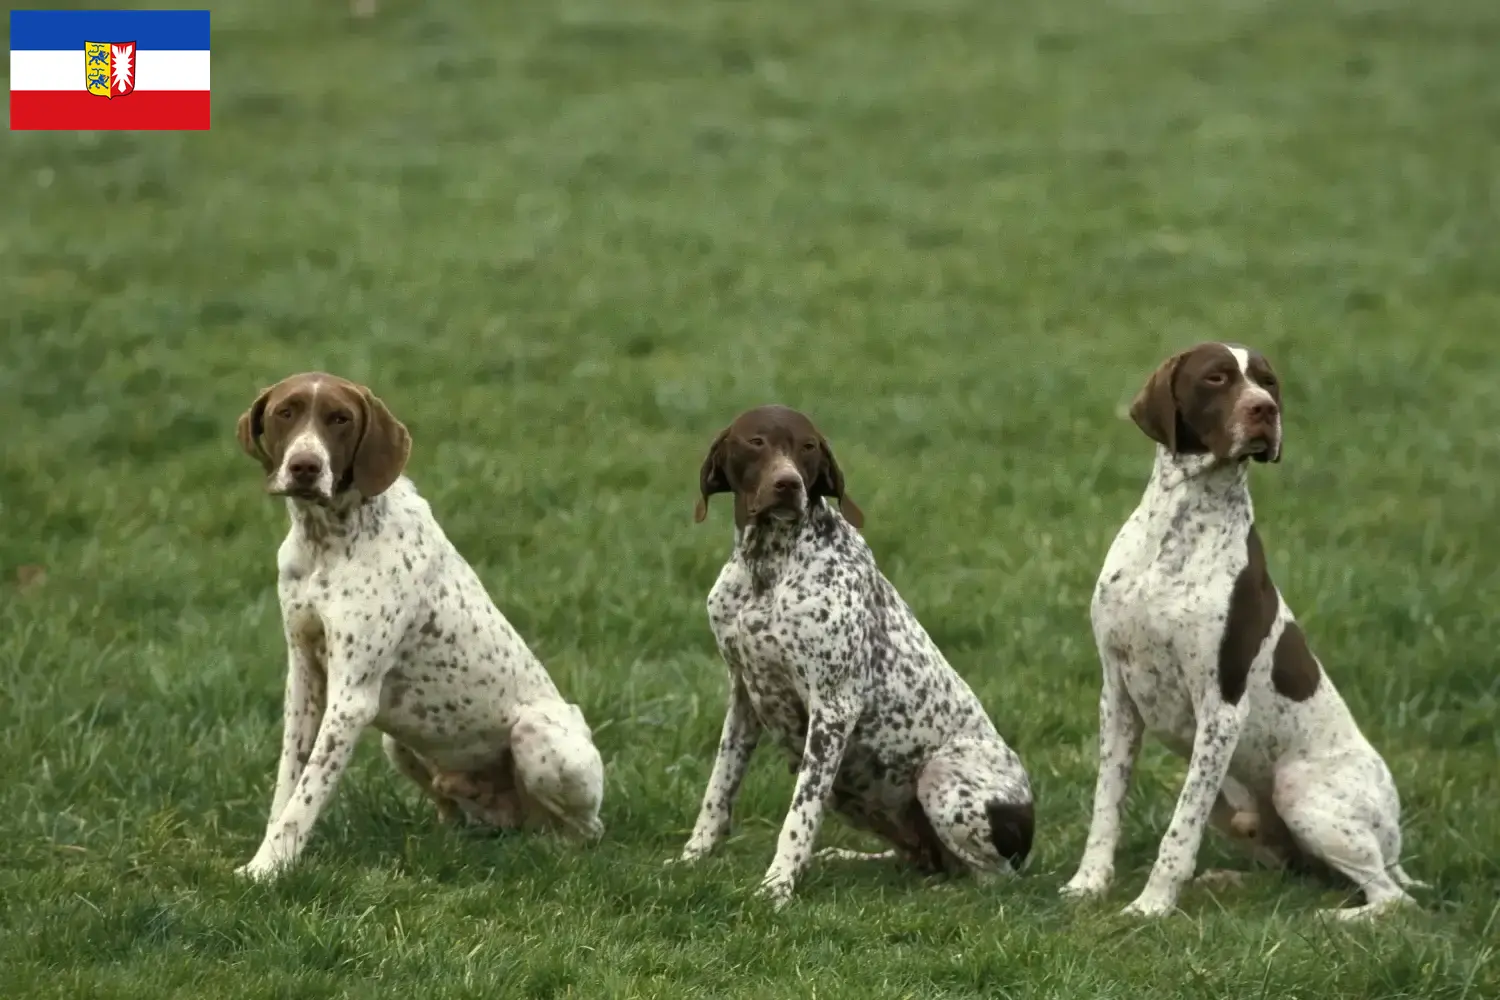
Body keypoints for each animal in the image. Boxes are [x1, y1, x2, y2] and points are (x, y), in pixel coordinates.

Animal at [231, 371, 600, 881]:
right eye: (286, 412)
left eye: (340, 419)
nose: (305, 466)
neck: (326, 542)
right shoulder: (304, 679)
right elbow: (288, 786)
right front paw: (266, 858)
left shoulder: (351, 701)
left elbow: (306, 797)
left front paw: (267, 869)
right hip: (398, 746)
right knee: (458, 812)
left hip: (538, 735)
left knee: (583, 831)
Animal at [1062, 344, 1422, 923]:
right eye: (1216, 378)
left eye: (1269, 383)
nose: (1264, 411)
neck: (1176, 531)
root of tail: (1394, 839)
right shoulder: (1116, 696)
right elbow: (1106, 807)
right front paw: (1089, 884)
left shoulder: (1221, 710)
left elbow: (1178, 831)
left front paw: (1151, 906)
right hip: (1238, 806)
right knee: (1302, 871)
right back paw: (1227, 881)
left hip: (1301, 794)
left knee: (1392, 898)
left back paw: (1331, 919)